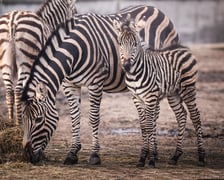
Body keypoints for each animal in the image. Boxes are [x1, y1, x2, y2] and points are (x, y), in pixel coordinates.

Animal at [20, 5, 179, 166]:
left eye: (39, 119)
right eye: (22, 118)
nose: (27, 156)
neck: (74, 53)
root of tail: (155, 9)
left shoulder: (95, 83)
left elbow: (93, 118)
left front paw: (94, 154)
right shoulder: (69, 85)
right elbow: (74, 117)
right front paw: (72, 152)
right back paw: (155, 153)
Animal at [114, 17, 206, 167]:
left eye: (135, 44)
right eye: (120, 43)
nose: (127, 66)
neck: (134, 74)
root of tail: (185, 48)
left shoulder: (150, 97)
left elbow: (149, 125)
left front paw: (151, 159)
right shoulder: (136, 98)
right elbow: (143, 126)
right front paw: (143, 157)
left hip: (188, 88)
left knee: (196, 117)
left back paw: (201, 157)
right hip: (173, 93)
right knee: (181, 115)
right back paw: (176, 156)